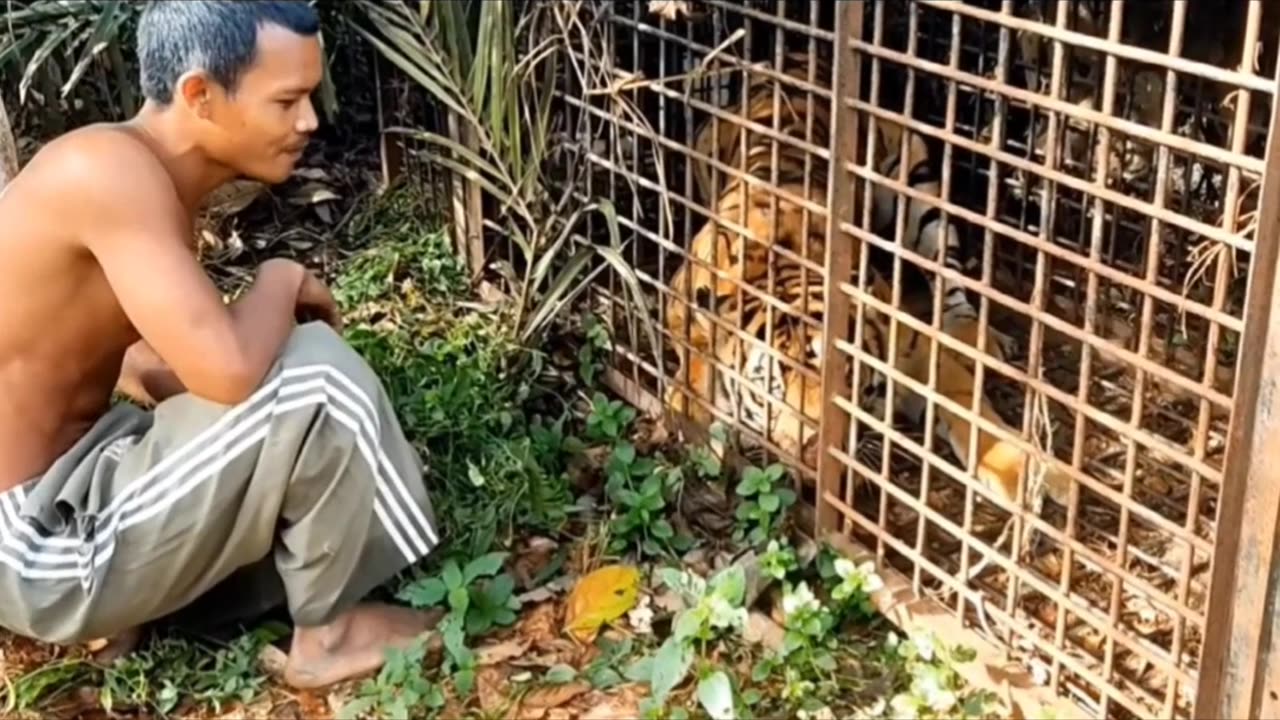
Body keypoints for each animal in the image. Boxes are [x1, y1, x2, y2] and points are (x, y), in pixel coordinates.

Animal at [660, 50, 1070, 504]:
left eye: (844, 372)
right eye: (771, 388)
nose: (817, 452)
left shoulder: (912, 346)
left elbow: (966, 402)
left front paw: (1027, 475)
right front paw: (690, 409)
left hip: (919, 185)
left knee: (949, 281)